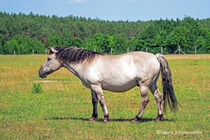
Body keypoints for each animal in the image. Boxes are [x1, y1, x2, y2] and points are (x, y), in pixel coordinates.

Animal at [38, 46, 177, 122]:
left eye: (49, 59)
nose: (40, 73)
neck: (86, 63)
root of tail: (155, 56)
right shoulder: (92, 87)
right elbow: (94, 101)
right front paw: (93, 117)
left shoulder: (96, 86)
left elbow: (101, 101)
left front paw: (106, 117)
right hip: (152, 84)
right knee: (158, 97)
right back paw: (159, 117)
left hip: (144, 85)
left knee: (145, 100)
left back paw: (136, 118)